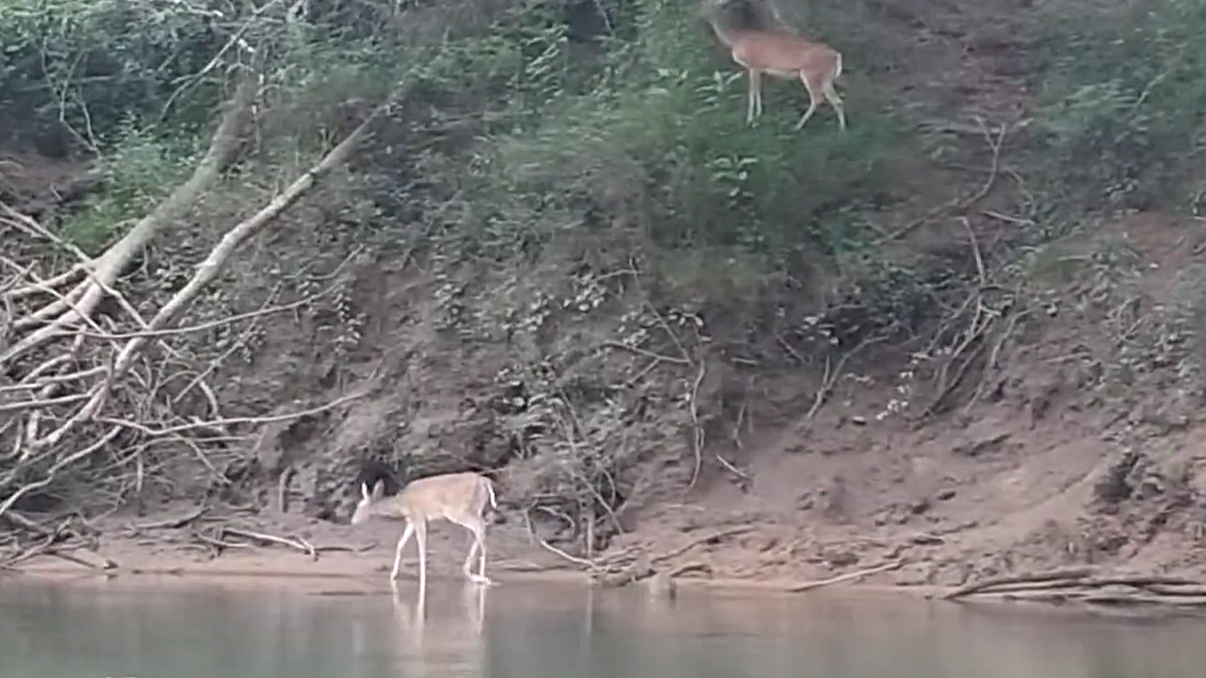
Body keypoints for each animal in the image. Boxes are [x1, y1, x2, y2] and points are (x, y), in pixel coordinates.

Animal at [351, 471, 498, 596]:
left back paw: (481, 576)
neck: (401, 504)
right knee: (483, 526)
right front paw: (393, 575)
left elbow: (421, 547)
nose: (353, 521)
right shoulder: (411, 521)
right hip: (477, 508)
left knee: (480, 526)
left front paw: (422, 578)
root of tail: (484, 481)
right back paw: (471, 573)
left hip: (457, 510)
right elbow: (400, 544)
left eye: (359, 506)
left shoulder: (419, 517)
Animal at [703, 0, 846, 132]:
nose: (702, 16)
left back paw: (797, 126)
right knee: (837, 101)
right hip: (826, 77)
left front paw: (750, 119)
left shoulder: (754, 65)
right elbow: (756, 90)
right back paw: (842, 129)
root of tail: (836, 56)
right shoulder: (757, 68)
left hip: (810, 73)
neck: (736, 39)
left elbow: (753, 93)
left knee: (818, 98)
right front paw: (757, 115)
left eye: (709, 3)